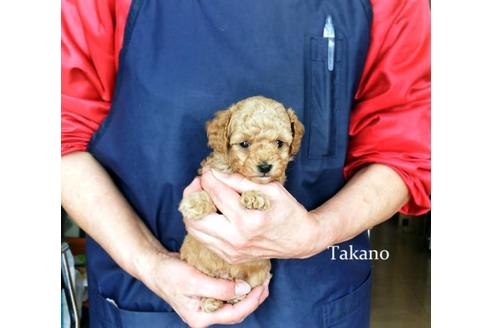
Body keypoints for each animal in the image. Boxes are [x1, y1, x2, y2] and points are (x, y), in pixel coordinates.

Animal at [181, 95, 304, 312]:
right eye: (245, 143)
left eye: (279, 143)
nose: (265, 167)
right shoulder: (213, 174)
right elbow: (207, 192)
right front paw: (195, 202)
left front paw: (254, 196)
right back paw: (211, 300)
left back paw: (235, 296)